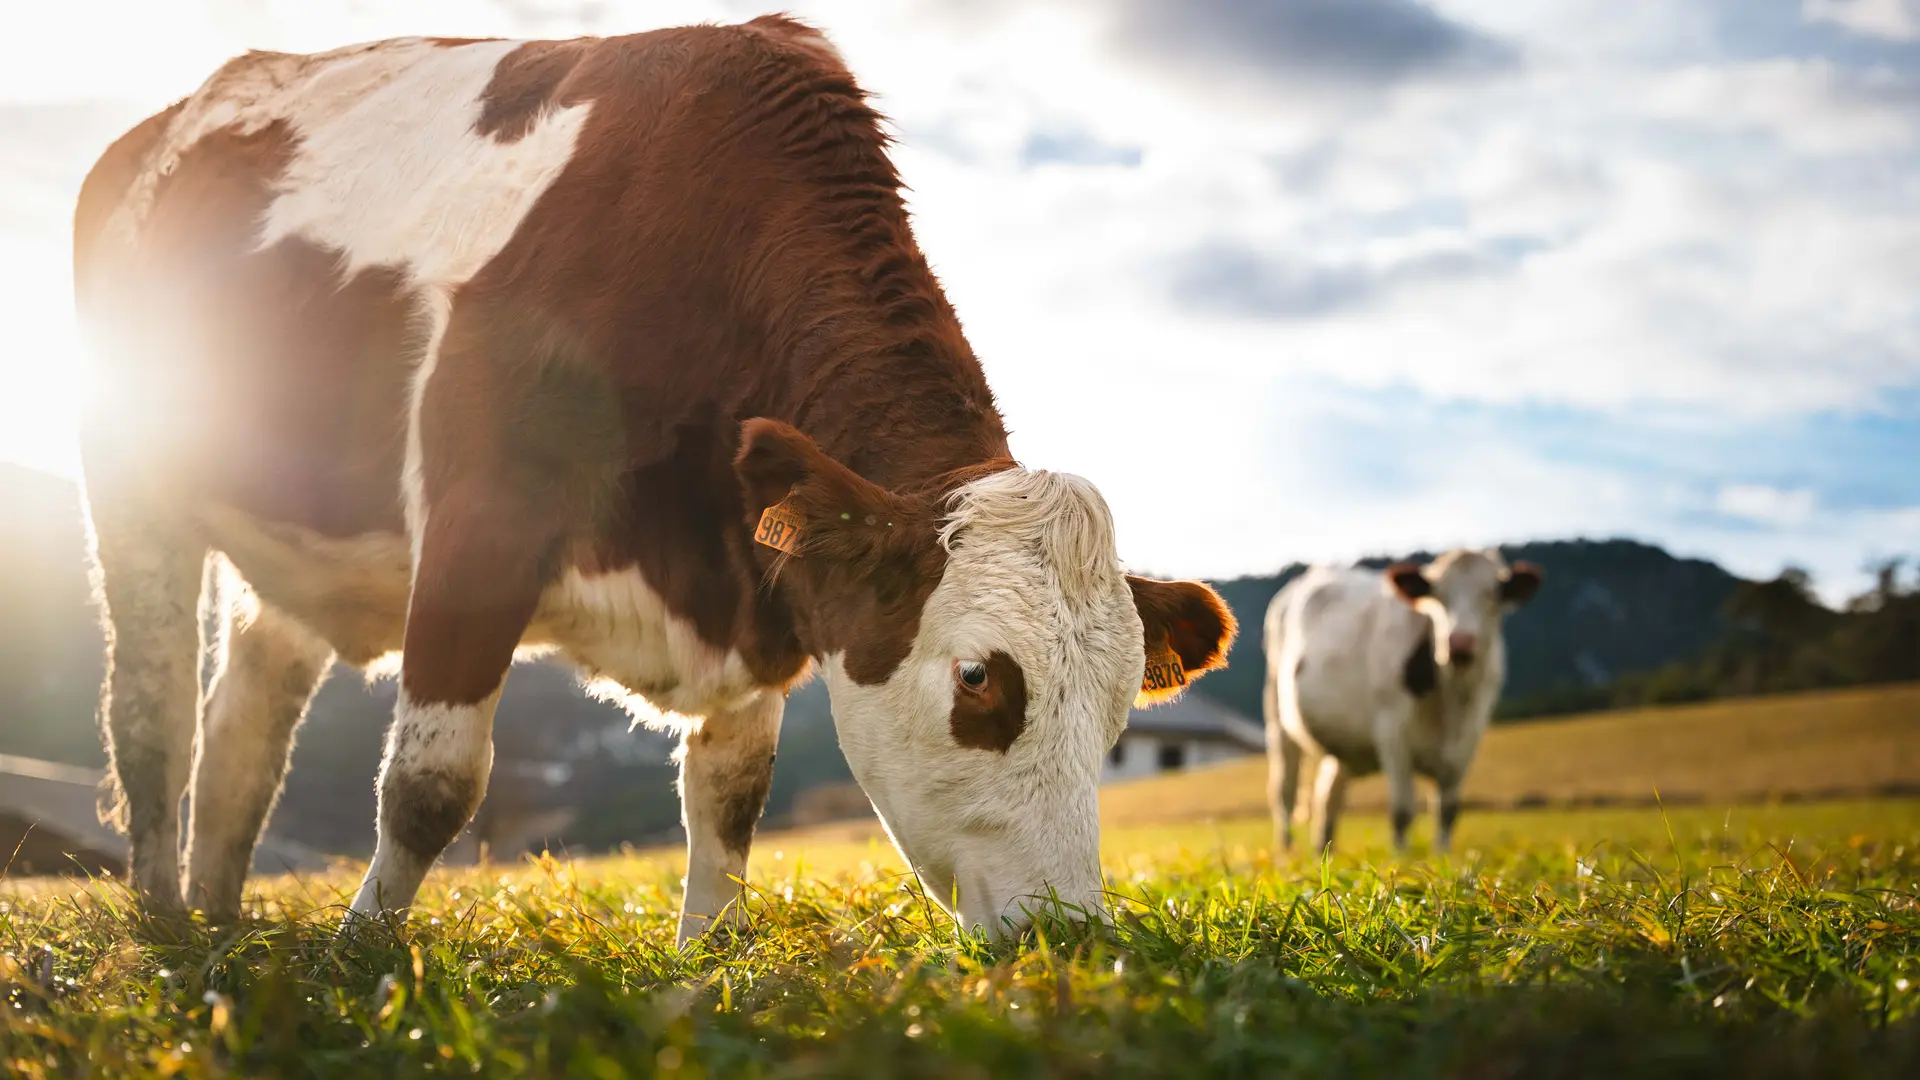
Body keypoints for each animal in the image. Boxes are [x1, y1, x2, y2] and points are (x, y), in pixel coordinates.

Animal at [71, 16, 1236, 943]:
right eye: (980, 679)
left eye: (1121, 717)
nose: (1070, 934)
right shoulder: (480, 521)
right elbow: (432, 783)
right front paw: (359, 954)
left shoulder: (762, 586)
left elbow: (731, 797)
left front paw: (707, 958)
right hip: (131, 472)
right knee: (152, 710)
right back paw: (163, 922)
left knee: (244, 725)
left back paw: (219, 921)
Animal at [1262, 550, 1541, 855]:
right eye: (1438, 596)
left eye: (1492, 594)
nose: (1460, 644)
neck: (1452, 702)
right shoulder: (1392, 733)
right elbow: (1403, 809)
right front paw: (1401, 858)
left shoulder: (1469, 739)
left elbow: (1448, 810)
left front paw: (1442, 855)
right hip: (1278, 717)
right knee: (1284, 791)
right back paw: (1286, 852)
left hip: (1342, 743)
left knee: (1328, 798)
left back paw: (1325, 852)